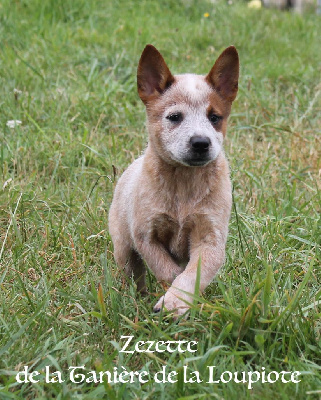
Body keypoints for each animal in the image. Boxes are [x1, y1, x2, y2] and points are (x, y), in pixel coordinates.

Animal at [108, 44, 238, 316]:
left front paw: (175, 301)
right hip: (123, 247)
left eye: (214, 117)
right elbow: (168, 271)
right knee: (132, 275)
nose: (201, 142)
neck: (184, 184)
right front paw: (169, 298)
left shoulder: (210, 239)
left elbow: (190, 275)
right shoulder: (146, 236)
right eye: (175, 117)